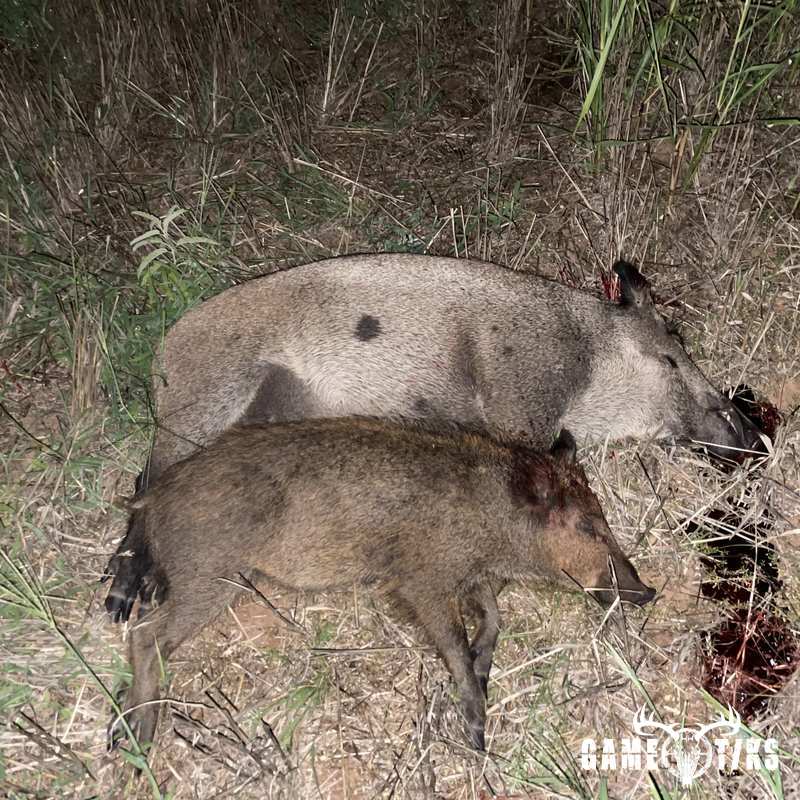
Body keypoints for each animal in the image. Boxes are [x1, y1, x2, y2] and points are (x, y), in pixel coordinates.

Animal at [104, 255, 761, 621]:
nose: (753, 436)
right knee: (146, 481)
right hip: (204, 398)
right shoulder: (521, 399)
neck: (586, 363)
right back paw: (122, 604)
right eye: (672, 353)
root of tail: (163, 352)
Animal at [108, 419, 655, 753]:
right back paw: (135, 737)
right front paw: (477, 734)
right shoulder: (421, 581)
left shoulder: (466, 577)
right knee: (146, 636)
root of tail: (152, 499)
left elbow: (493, 618)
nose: (647, 592)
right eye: (587, 525)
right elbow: (453, 645)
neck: (493, 519)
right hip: (210, 576)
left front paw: (483, 671)